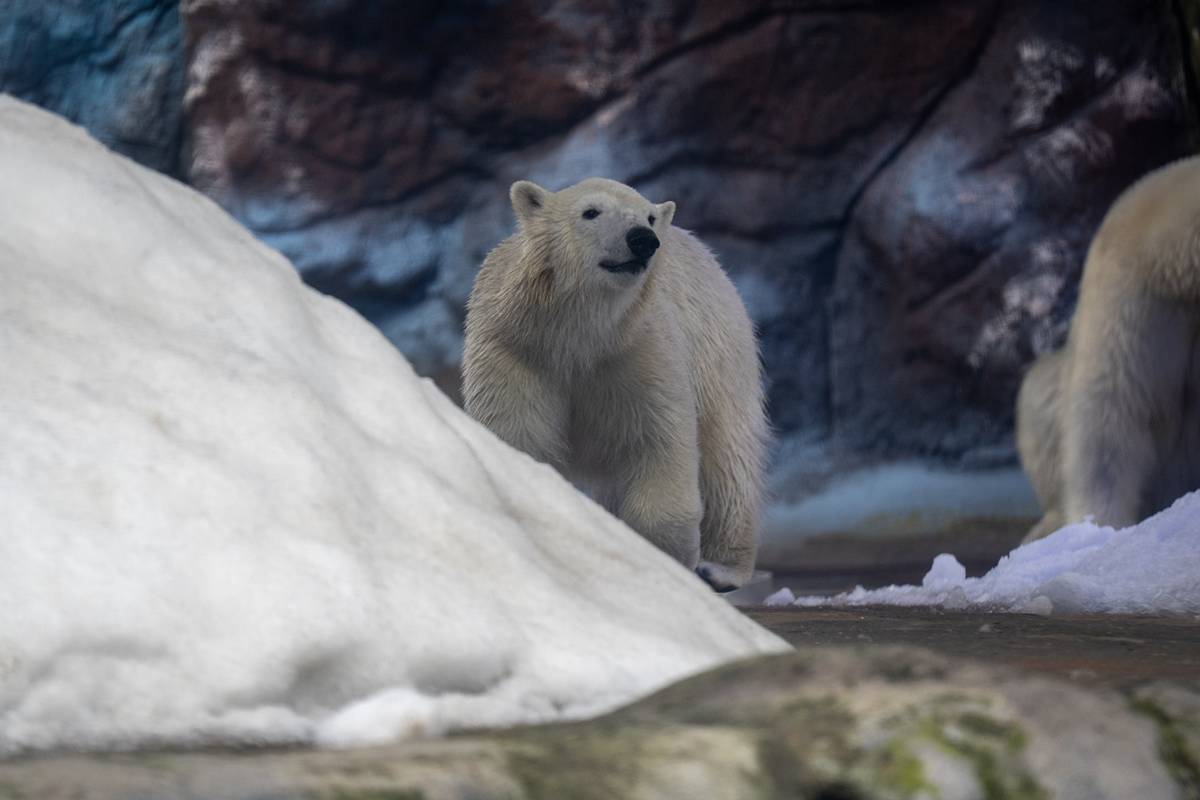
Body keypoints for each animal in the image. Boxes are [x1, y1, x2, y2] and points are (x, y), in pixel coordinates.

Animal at [462, 177, 768, 591]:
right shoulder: (514, 349)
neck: (575, 334)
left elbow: (658, 441)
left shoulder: (641, 350)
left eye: (649, 217)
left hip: (718, 349)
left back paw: (721, 568)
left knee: (727, 453)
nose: (643, 239)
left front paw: (664, 563)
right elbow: (517, 436)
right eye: (591, 212)